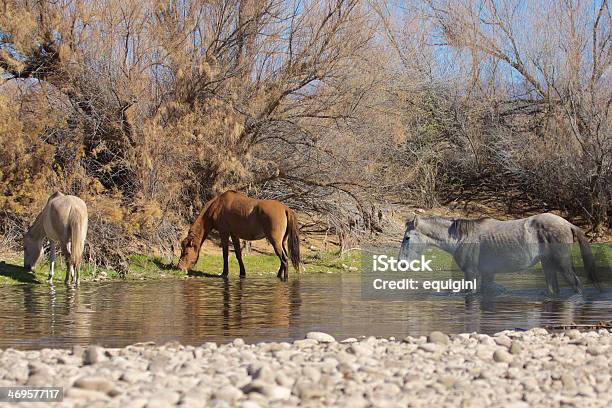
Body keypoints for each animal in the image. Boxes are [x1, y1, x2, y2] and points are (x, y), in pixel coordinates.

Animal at [400, 212, 600, 294]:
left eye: (407, 237)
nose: (401, 263)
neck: (462, 238)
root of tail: (568, 224)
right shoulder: (488, 274)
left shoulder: (471, 273)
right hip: (548, 265)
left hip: (562, 264)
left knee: (577, 285)